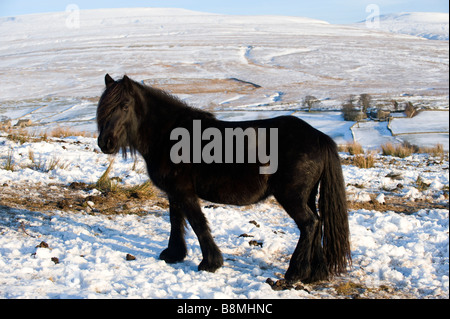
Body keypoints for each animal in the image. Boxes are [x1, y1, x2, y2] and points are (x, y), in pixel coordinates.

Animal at [96, 75, 350, 284]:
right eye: (103, 106)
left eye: (124, 105)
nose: (105, 143)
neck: (169, 135)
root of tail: (318, 136)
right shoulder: (174, 192)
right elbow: (176, 221)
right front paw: (174, 255)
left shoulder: (184, 192)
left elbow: (198, 224)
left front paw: (210, 263)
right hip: (307, 195)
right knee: (318, 223)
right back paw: (315, 274)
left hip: (292, 197)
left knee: (309, 224)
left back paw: (294, 273)